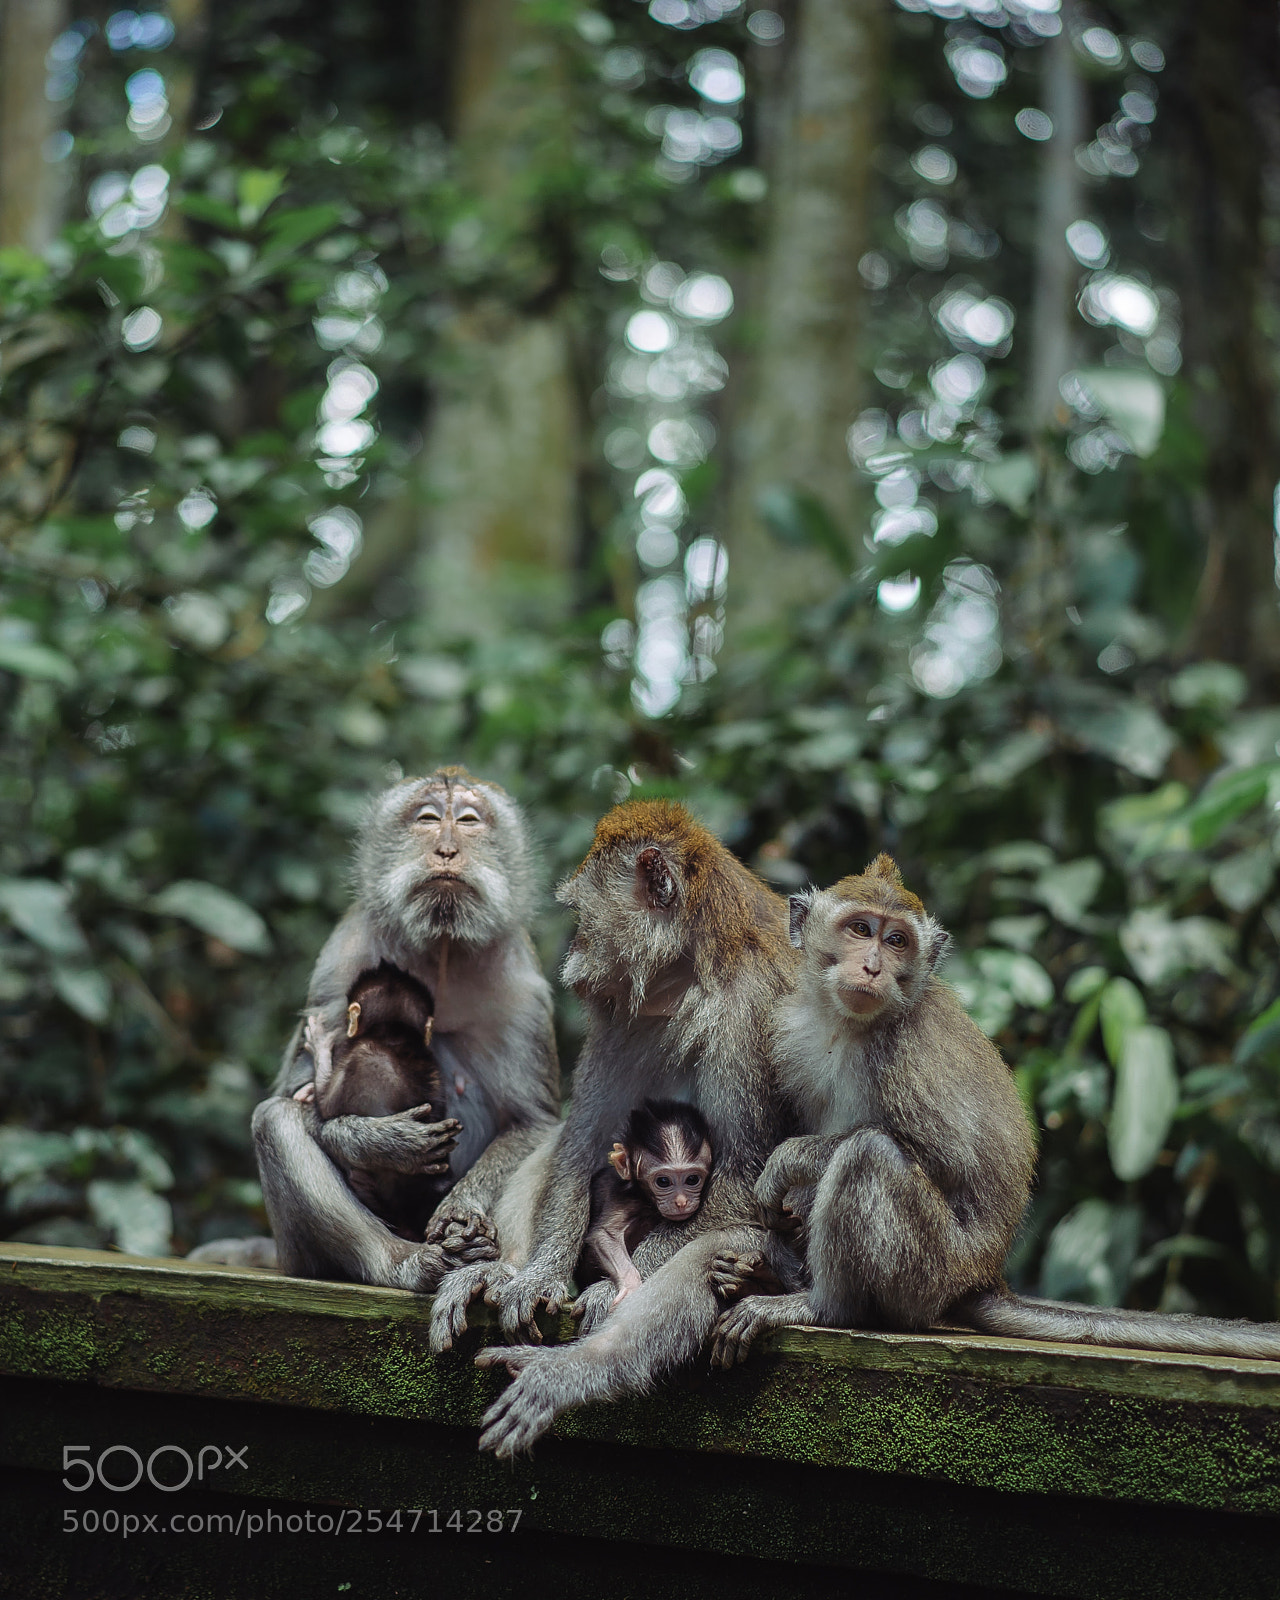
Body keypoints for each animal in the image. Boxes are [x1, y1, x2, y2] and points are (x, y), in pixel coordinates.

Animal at [580, 1100, 714, 1306]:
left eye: (692, 1179)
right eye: (663, 1181)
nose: (681, 1202)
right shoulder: (622, 1198)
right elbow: (606, 1235)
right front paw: (631, 1285)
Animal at [709, 856, 1280, 1366]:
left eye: (896, 941)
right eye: (859, 929)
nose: (872, 966)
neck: (847, 1024)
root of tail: (983, 1276)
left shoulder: (904, 1055)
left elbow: (946, 1160)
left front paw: (787, 1163)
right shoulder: (790, 1029)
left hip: (929, 1272)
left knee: (869, 1155)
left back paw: (824, 1307)